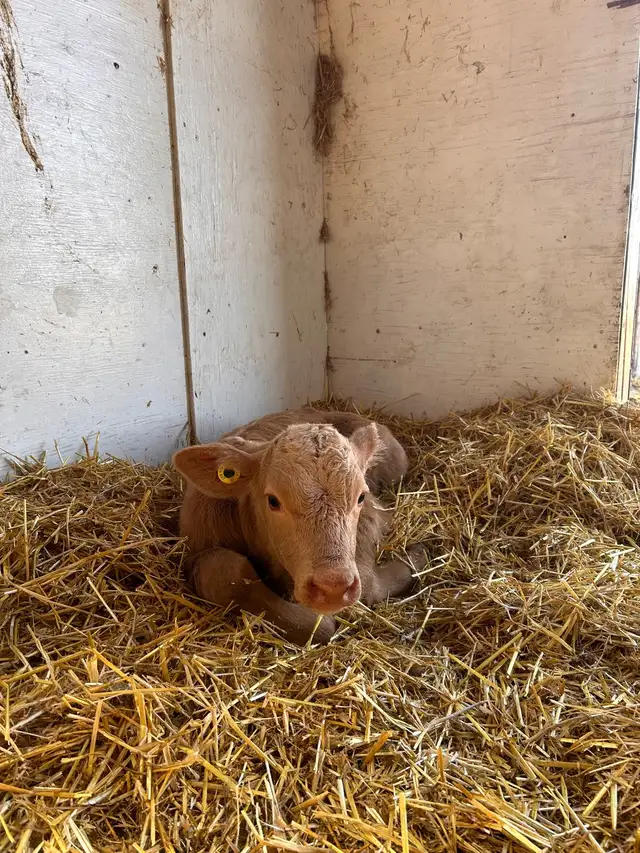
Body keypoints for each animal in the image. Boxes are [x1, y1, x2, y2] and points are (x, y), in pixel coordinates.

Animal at [173, 408, 422, 644]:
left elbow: (367, 583)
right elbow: (224, 572)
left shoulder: (372, 515)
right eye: (273, 501)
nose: (333, 588)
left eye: (360, 497)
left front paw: (416, 558)